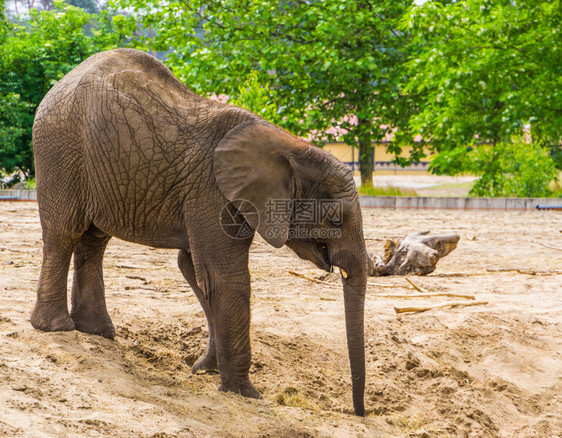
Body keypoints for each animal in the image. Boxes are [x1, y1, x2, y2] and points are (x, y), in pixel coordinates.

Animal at [30, 49, 366, 416]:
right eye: (335, 220)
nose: (358, 412)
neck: (290, 147)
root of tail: (59, 85)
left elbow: (195, 270)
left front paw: (205, 370)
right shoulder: (211, 191)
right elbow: (225, 277)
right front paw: (245, 393)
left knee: (94, 241)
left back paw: (97, 333)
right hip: (60, 152)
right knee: (64, 233)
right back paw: (55, 328)